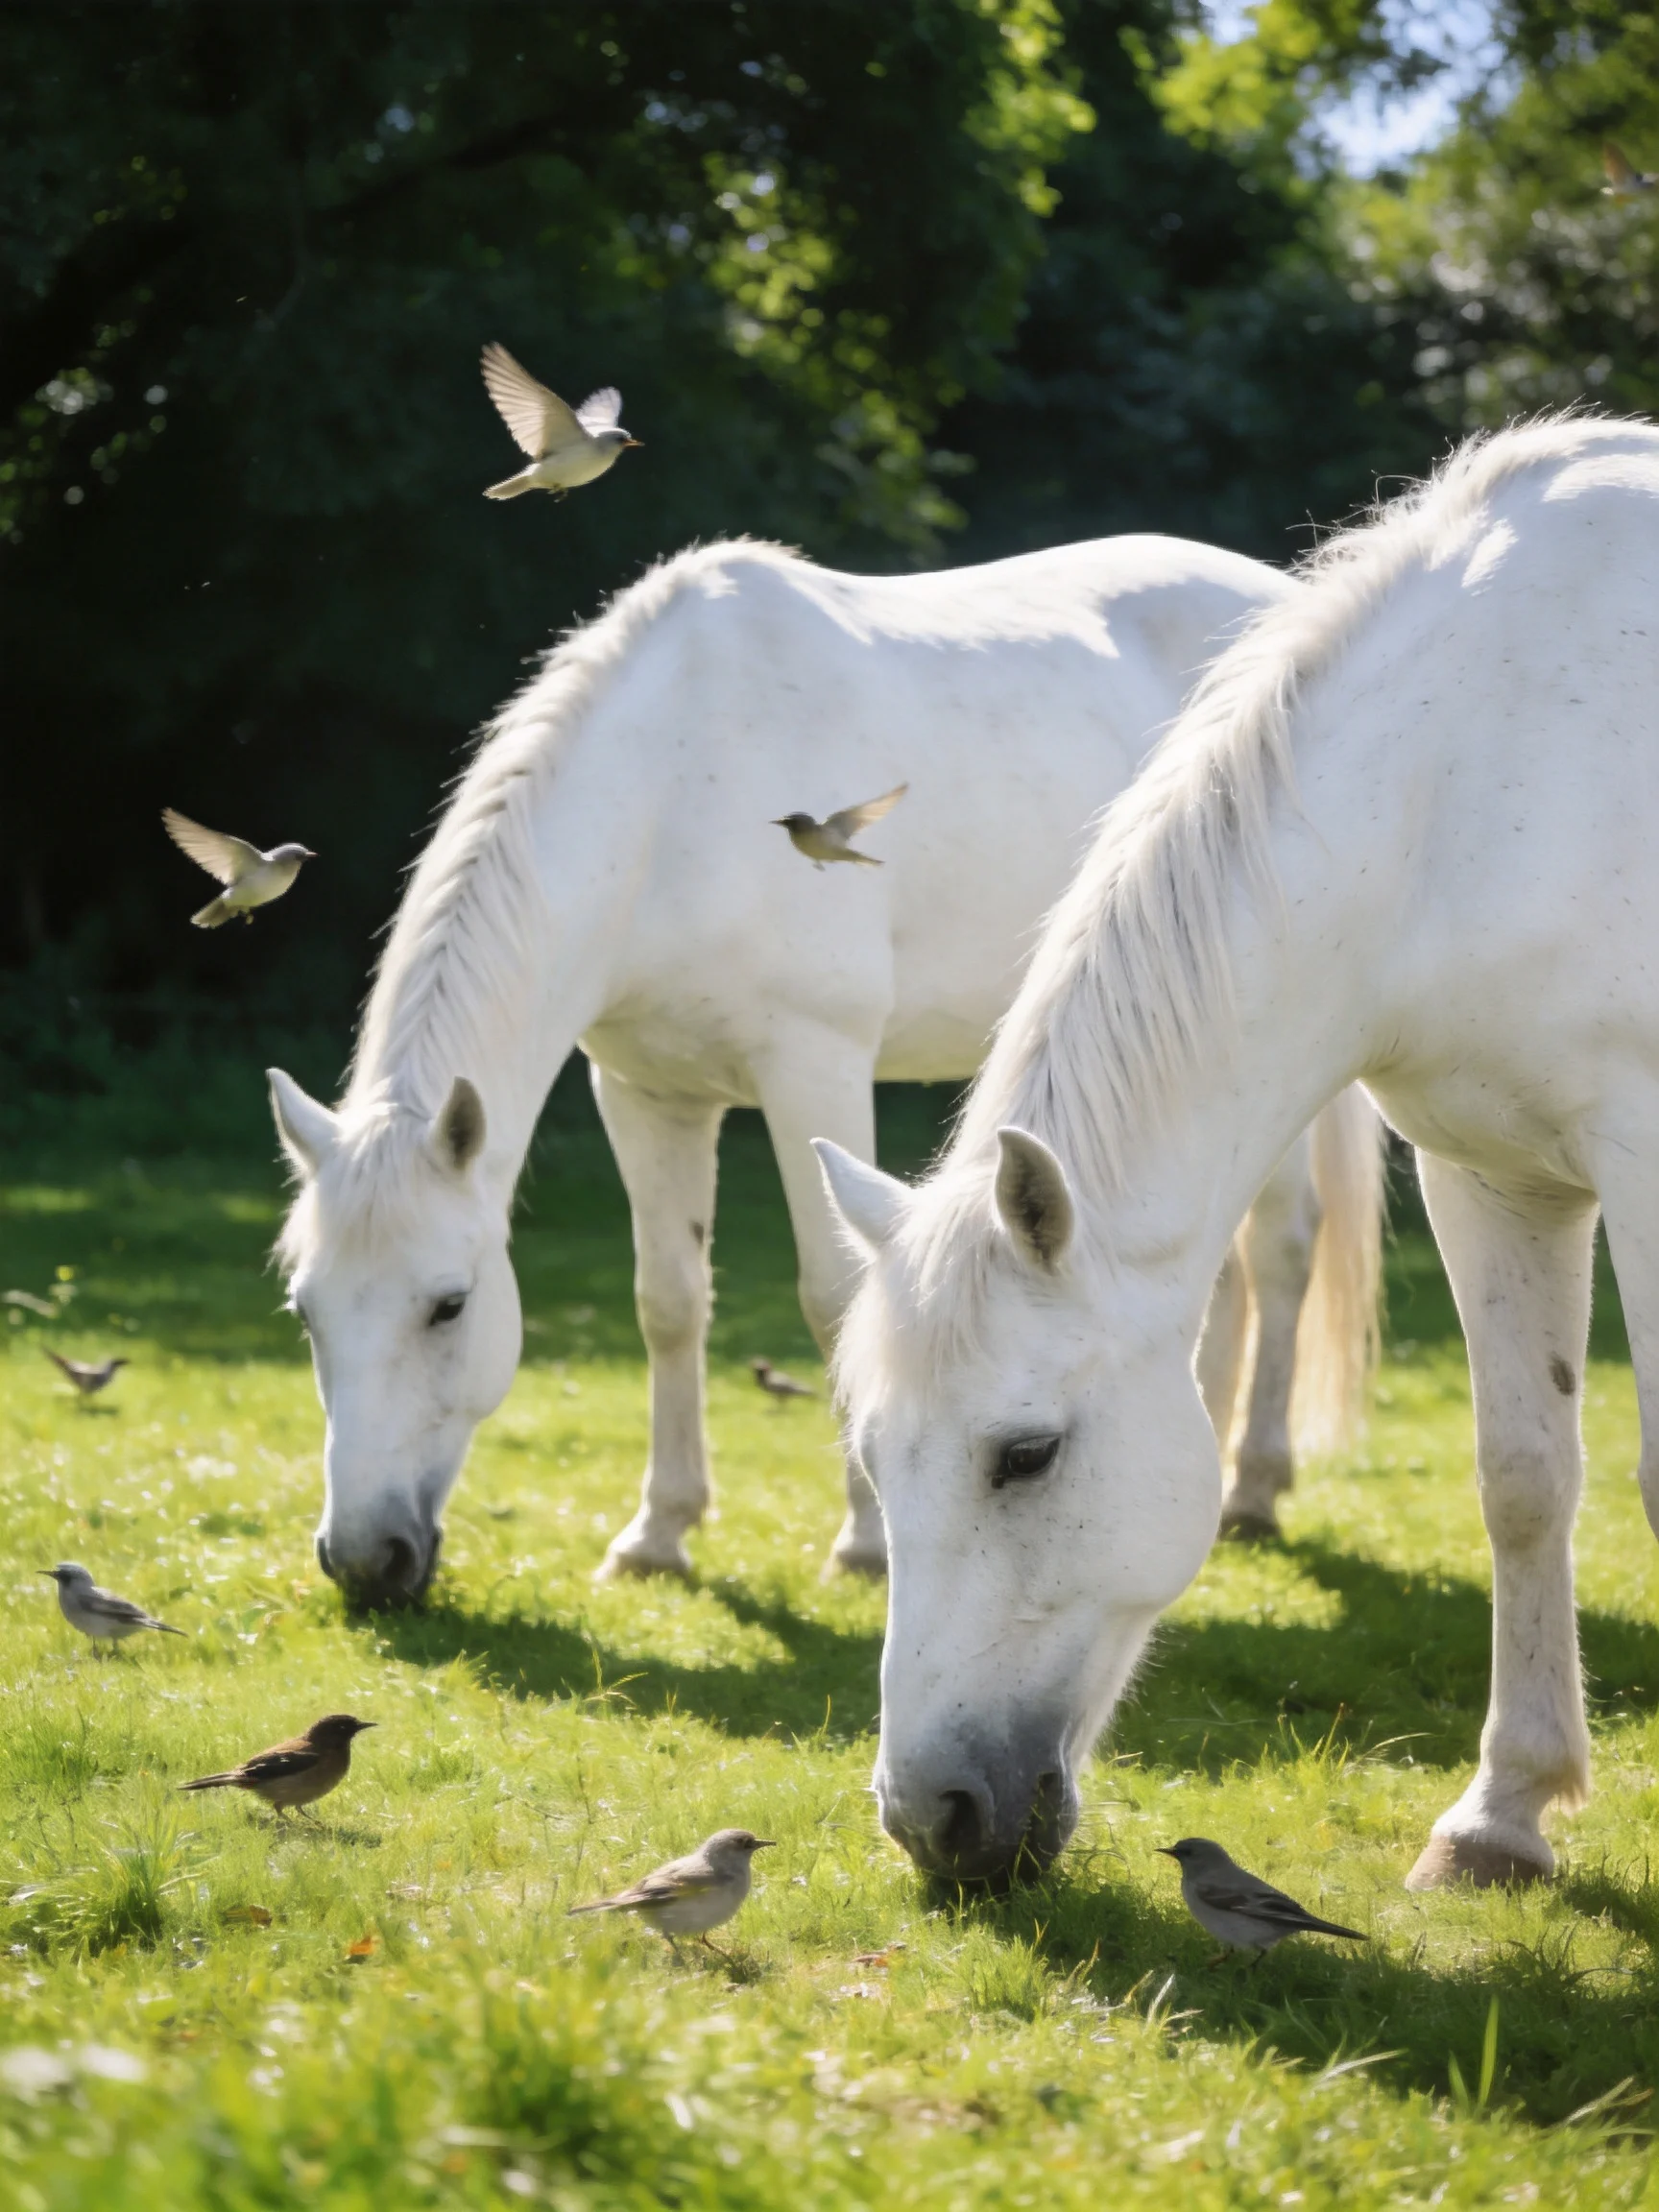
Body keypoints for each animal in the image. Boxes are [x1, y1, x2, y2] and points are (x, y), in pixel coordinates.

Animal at [267, 532, 1382, 1608]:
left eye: (449, 1305)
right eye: (306, 1311)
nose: (365, 1561)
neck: (670, 797)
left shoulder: (816, 1066)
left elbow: (836, 1300)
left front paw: (863, 1545)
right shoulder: (646, 1095)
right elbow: (668, 1300)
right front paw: (659, 1534)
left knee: (1282, 1246)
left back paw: (1253, 1488)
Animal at [821, 413, 1659, 1893]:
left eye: (1024, 1455)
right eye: (873, 1455)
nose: (931, 1820)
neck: (1472, 785)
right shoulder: (1493, 1176)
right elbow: (1523, 1479)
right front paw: (1500, 1818)